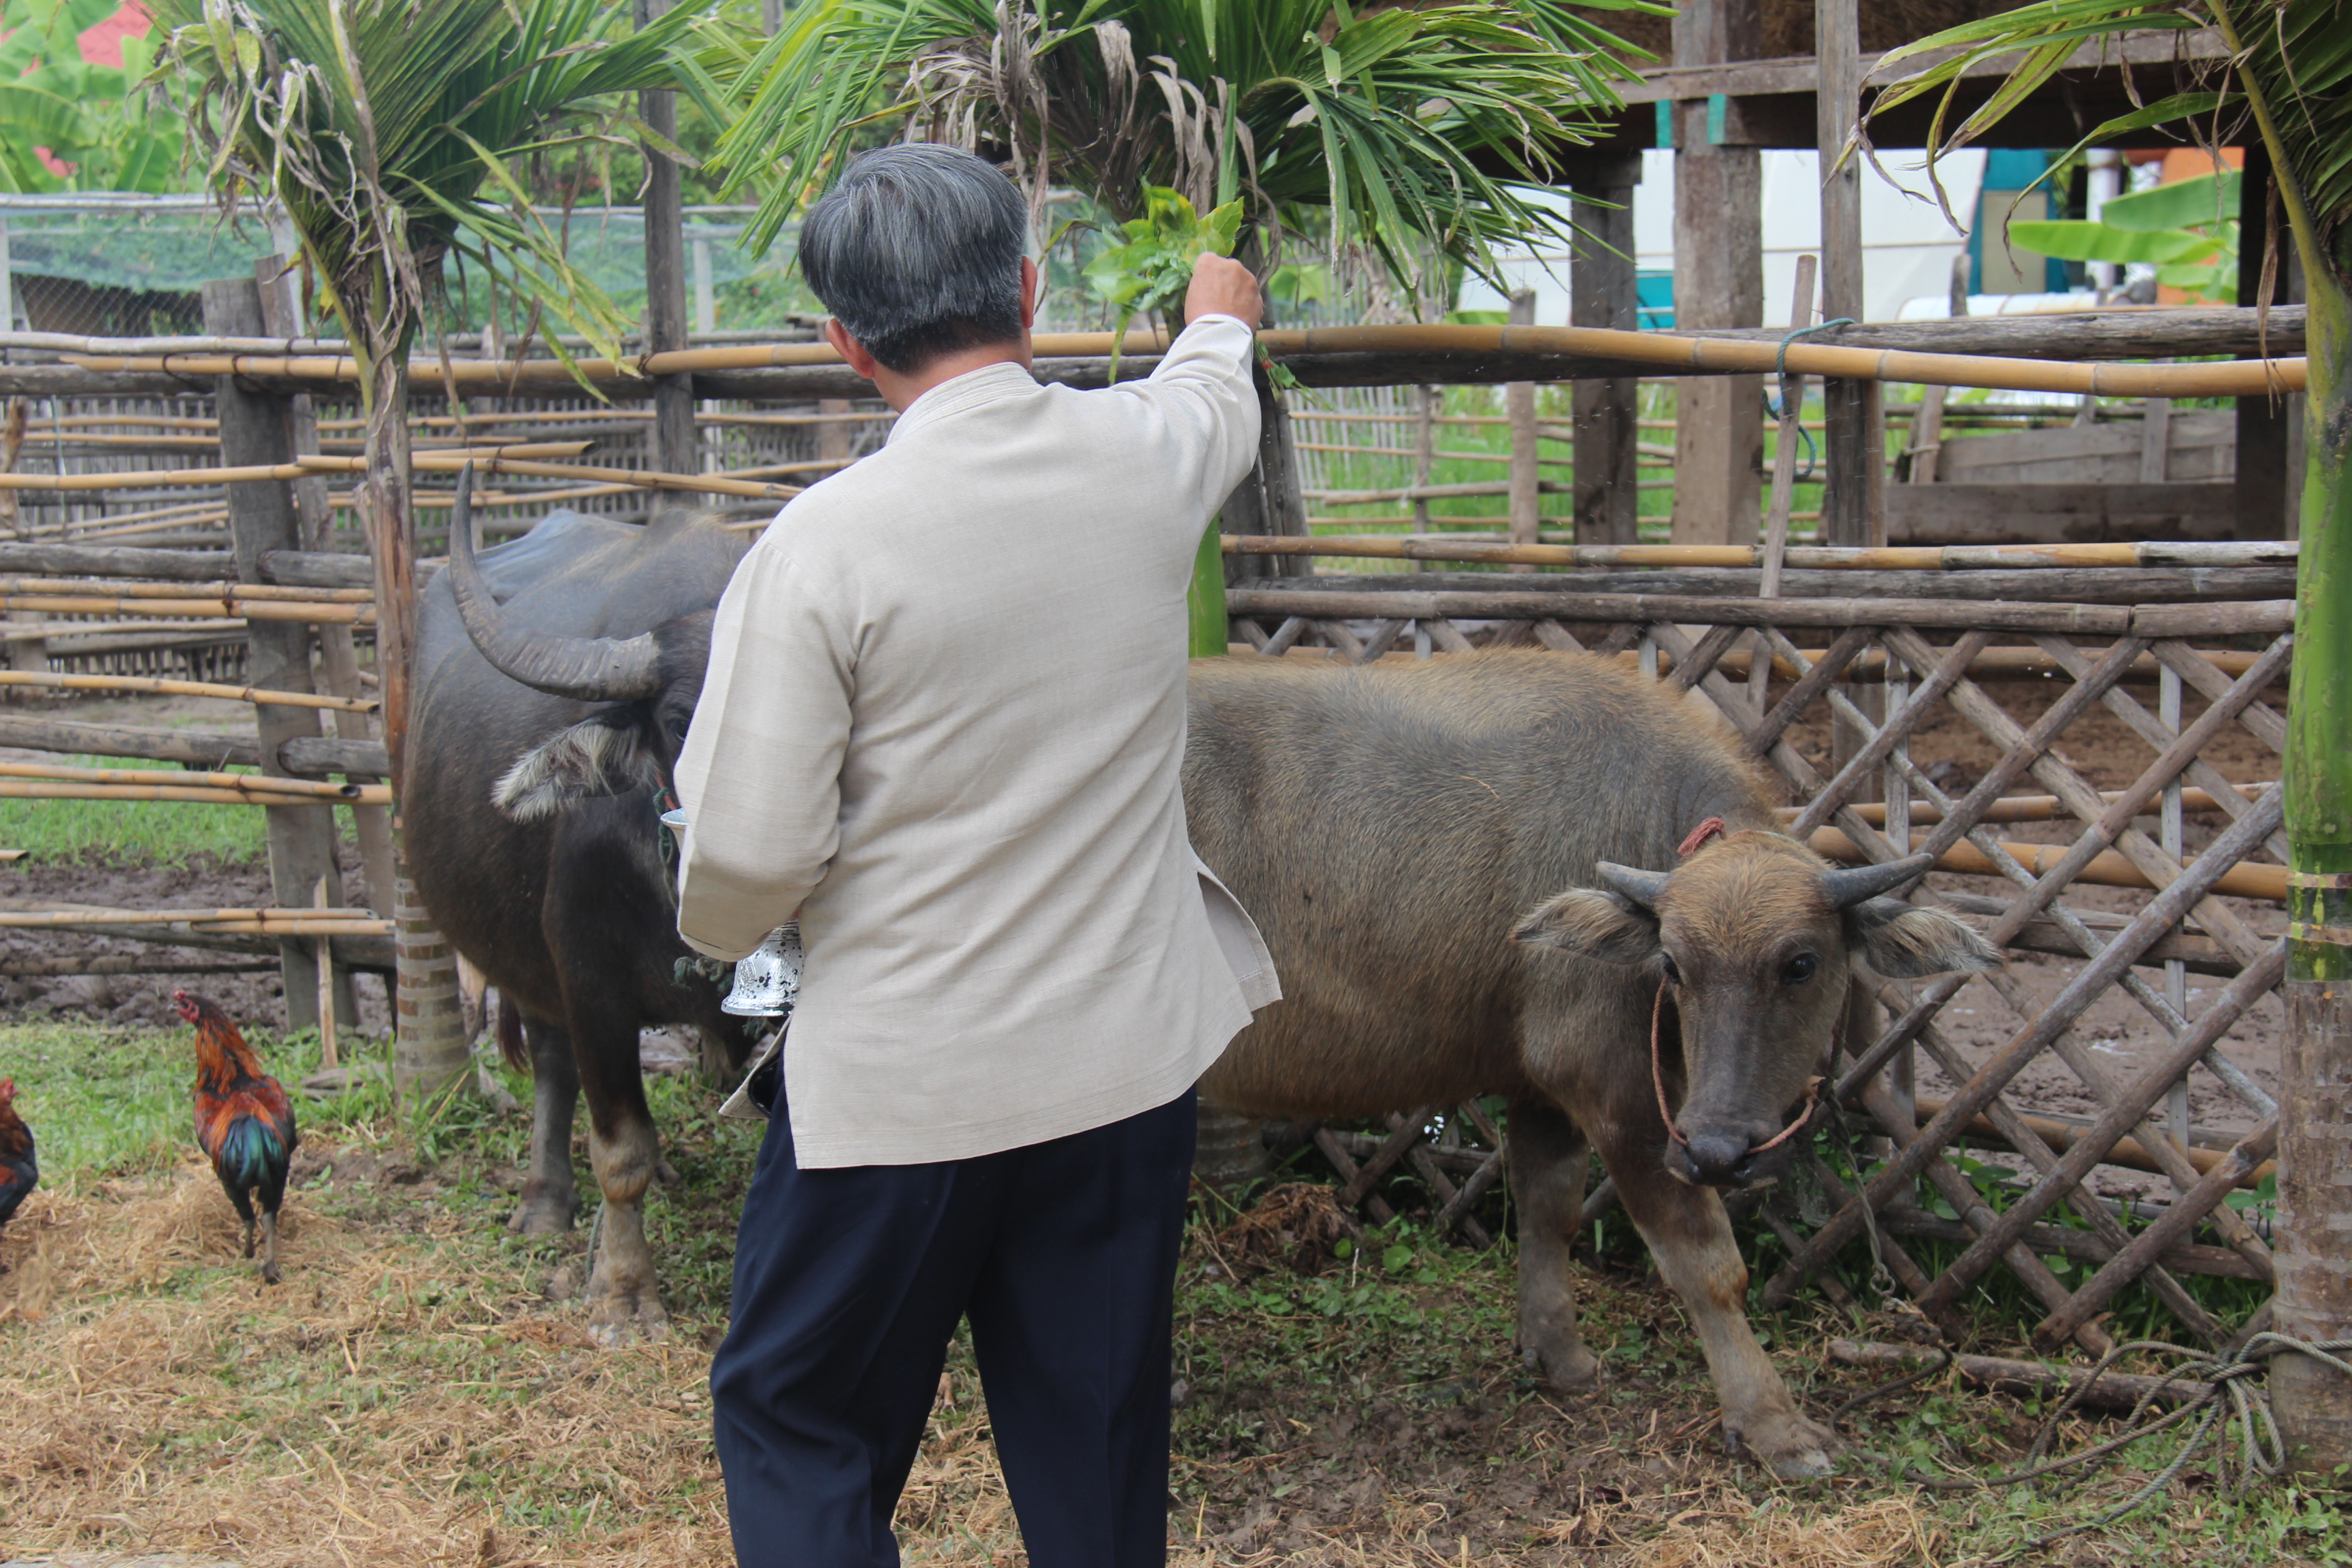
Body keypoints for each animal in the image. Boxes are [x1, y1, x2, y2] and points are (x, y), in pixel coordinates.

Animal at [403, 472, 762, 1343]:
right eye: (680, 721)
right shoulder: (589, 981)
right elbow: (618, 1148)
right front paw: (625, 1293)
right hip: (524, 963)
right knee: (553, 1068)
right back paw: (546, 1204)